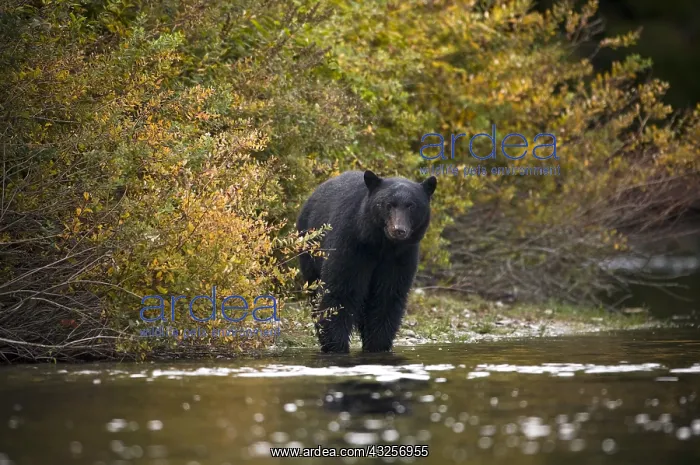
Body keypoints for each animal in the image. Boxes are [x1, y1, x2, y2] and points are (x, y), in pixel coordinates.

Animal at [296, 170, 437, 353]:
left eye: (411, 205)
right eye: (388, 204)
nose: (398, 230)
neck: (382, 245)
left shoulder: (401, 257)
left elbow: (387, 296)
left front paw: (377, 345)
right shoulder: (351, 245)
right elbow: (340, 290)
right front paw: (336, 346)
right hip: (310, 250)